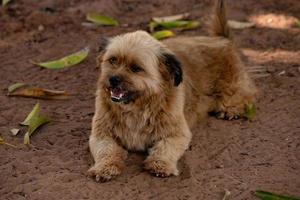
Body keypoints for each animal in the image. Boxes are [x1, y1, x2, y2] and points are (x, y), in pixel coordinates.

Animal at [88, 0, 256, 181]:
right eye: (112, 60)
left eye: (135, 68)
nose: (113, 79)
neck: (138, 106)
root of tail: (221, 39)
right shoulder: (101, 134)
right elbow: (106, 150)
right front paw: (105, 167)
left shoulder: (177, 133)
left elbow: (165, 148)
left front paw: (160, 164)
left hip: (232, 87)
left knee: (246, 95)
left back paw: (232, 109)